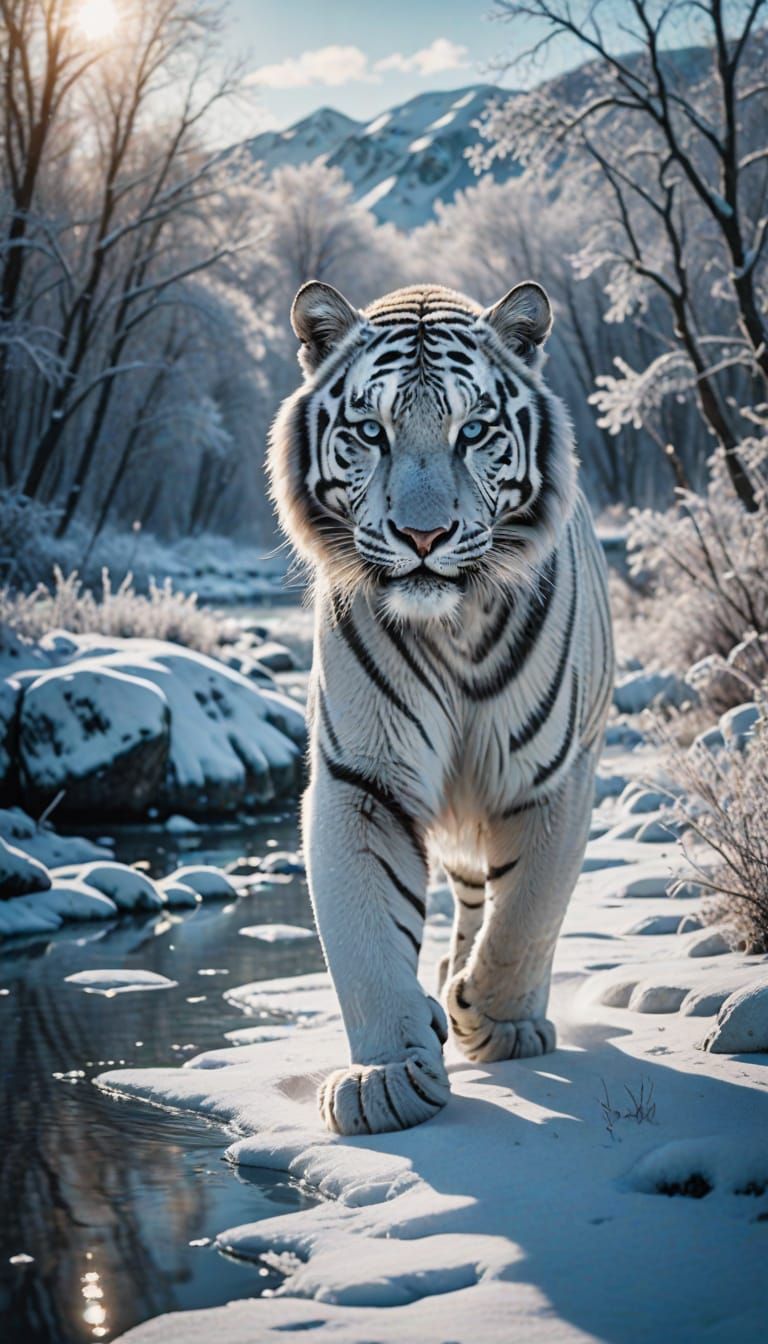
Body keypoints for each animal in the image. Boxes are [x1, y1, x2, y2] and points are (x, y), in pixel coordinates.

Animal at [268, 280, 614, 1135]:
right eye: (371, 431)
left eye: (474, 431)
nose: (423, 536)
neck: (450, 625)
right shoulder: (363, 780)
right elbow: (365, 939)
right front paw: (386, 1076)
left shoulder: (551, 780)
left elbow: (526, 915)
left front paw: (489, 1015)